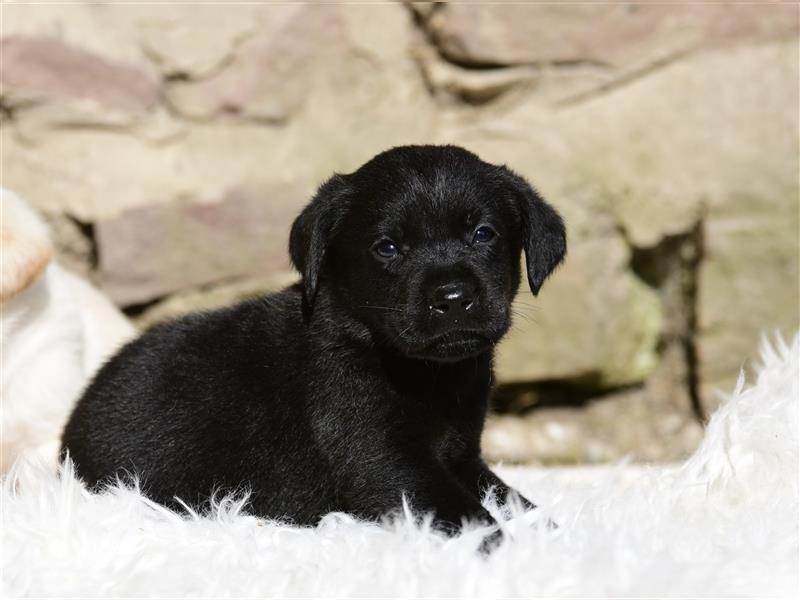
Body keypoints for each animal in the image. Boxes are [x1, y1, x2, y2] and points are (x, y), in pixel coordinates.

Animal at [59, 144, 564, 544]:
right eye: (387, 248)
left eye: (483, 234)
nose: (453, 298)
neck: (424, 372)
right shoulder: (382, 456)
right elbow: (461, 511)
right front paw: (503, 548)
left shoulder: (463, 456)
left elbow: (509, 496)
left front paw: (548, 531)